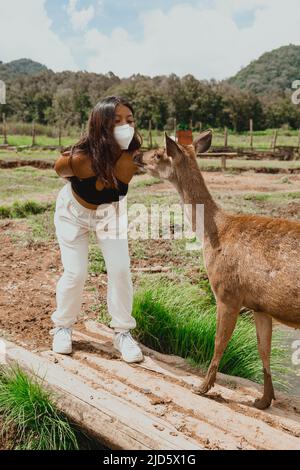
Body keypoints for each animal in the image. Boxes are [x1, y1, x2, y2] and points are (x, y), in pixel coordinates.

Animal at [134, 130, 300, 410]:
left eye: (157, 153)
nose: (136, 156)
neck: (213, 234)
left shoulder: (226, 292)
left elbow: (219, 341)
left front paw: (203, 386)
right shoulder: (260, 306)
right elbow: (263, 350)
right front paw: (263, 400)